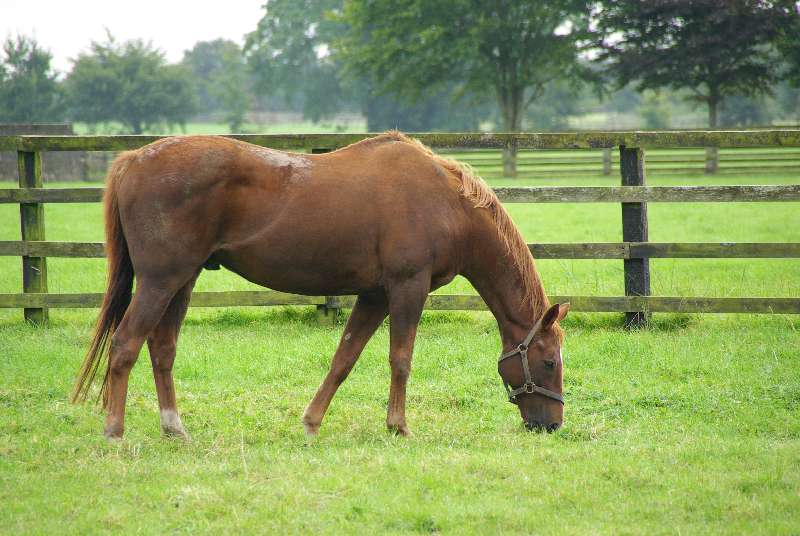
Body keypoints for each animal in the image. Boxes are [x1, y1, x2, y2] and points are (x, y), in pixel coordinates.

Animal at [70, 131, 569, 439]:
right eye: (548, 362)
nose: (552, 424)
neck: (446, 202)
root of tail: (132, 160)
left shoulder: (374, 295)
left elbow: (344, 359)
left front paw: (311, 422)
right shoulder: (407, 288)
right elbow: (401, 359)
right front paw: (399, 426)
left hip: (182, 281)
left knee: (162, 349)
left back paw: (175, 428)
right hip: (160, 281)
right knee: (125, 344)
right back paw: (114, 431)